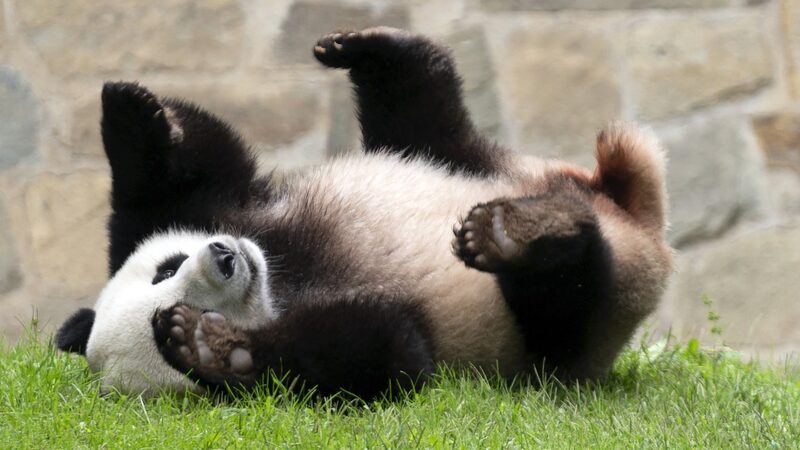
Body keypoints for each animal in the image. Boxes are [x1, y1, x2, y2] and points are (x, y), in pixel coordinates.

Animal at [55, 27, 673, 399]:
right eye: (180, 294)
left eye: (166, 268)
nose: (226, 258)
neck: (282, 277)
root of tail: (635, 219)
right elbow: (386, 354)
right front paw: (211, 347)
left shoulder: (230, 211)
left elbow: (191, 175)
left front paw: (130, 111)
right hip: (566, 333)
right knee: (566, 298)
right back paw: (521, 236)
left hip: (481, 163)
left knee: (426, 118)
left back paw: (372, 50)